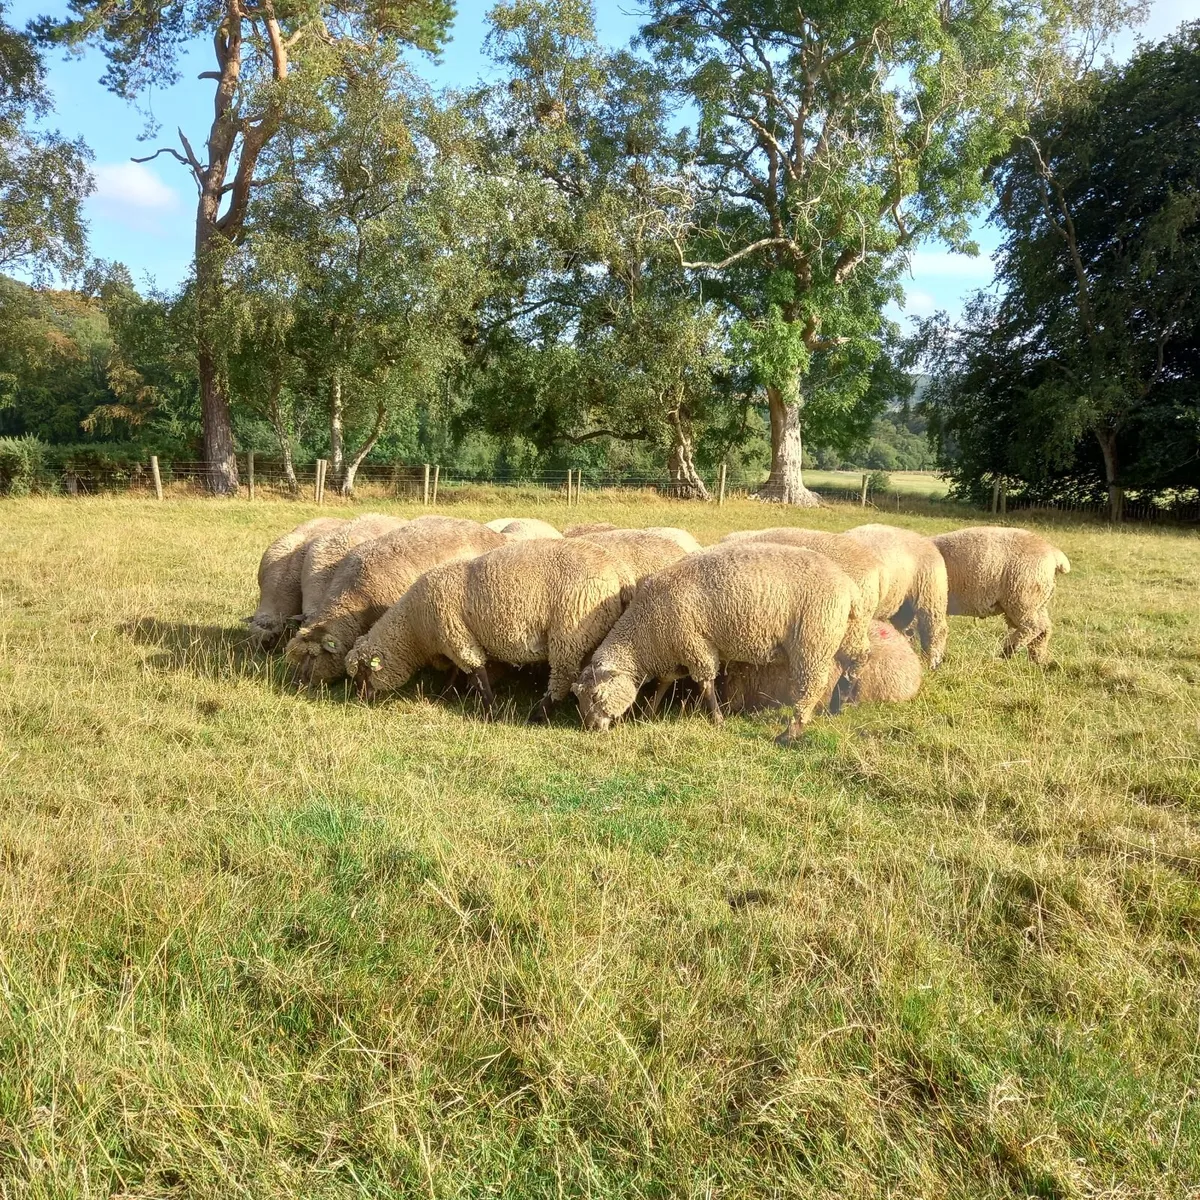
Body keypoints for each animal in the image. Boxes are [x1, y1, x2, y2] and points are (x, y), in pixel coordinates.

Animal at [346, 537, 633, 721]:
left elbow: (476, 671)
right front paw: (445, 694)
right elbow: (457, 670)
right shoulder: (454, 638)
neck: (415, 628)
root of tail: (621, 573)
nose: (359, 700)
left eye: (363, 671)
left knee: (562, 677)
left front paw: (491, 710)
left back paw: (538, 714)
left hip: (570, 633)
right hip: (589, 633)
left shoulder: (455, 634)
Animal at [572, 543, 872, 745]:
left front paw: (717, 719)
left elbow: (706, 685)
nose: (592, 729)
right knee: (858, 661)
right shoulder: (676, 651)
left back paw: (791, 731)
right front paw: (648, 712)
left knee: (812, 686)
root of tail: (849, 588)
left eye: (596, 696)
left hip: (813, 640)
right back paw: (841, 703)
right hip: (847, 632)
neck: (643, 637)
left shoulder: (695, 646)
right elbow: (664, 683)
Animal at [931, 526, 1071, 663]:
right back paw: (1039, 660)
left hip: (1022, 596)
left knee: (1033, 627)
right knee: (1044, 629)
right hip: (1038, 600)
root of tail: (1054, 554)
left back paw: (1007, 651)